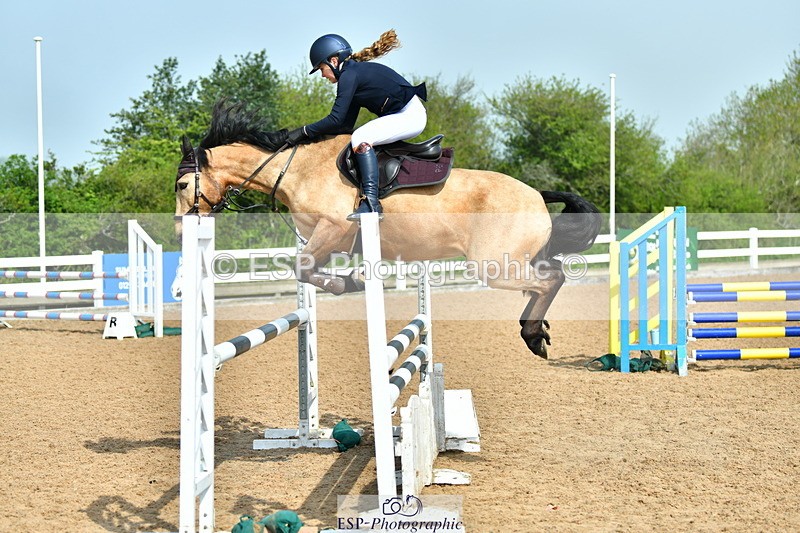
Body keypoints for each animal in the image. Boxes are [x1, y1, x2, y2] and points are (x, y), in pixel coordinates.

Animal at [175, 101, 602, 358]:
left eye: (180, 185)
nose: (181, 231)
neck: (296, 169)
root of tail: (537, 195)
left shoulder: (333, 229)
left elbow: (303, 268)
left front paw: (351, 282)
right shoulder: (324, 238)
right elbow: (306, 269)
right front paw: (351, 280)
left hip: (493, 265)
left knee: (551, 280)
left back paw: (532, 335)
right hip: (514, 260)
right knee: (548, 277)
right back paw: (537, 330)